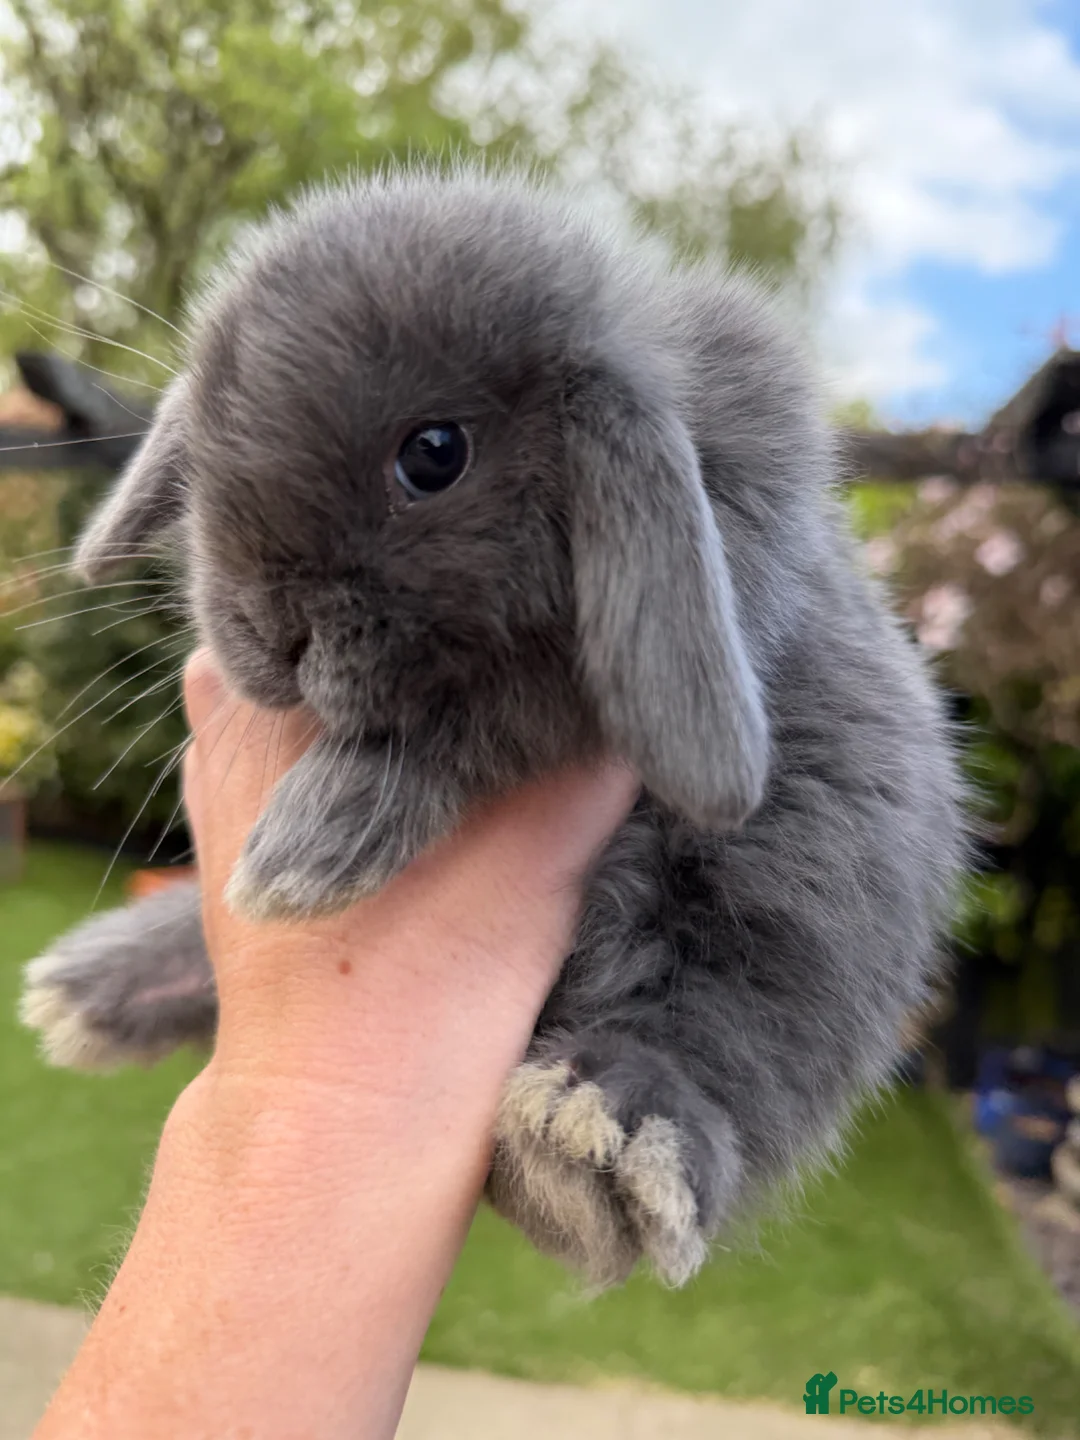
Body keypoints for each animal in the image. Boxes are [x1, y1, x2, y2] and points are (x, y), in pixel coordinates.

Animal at [19, 165, 965, 1290]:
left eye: (435, 455)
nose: (267, 633)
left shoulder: (658, 636)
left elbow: (476, 732)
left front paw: (311, 845)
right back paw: (92, 988)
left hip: (799, 924)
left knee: (727, 1041)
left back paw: (594, 1142)